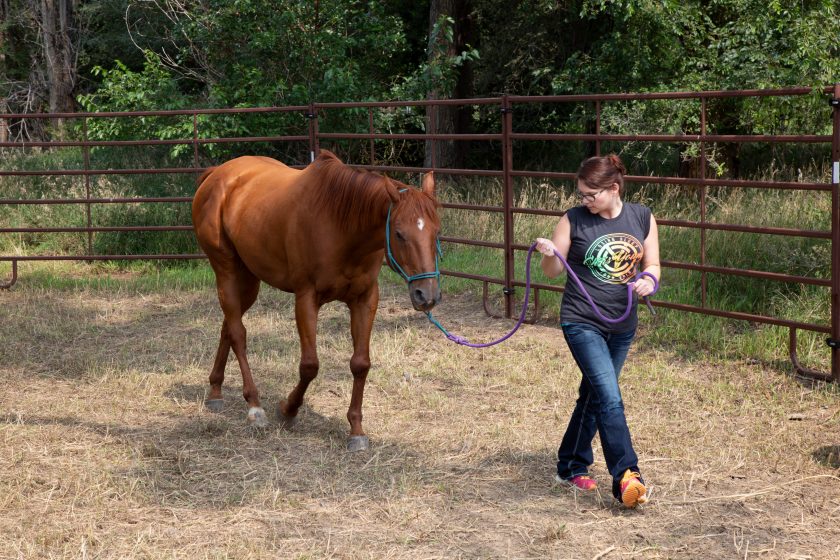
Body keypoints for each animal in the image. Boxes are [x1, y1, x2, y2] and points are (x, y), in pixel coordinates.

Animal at [190, 150, 440, 450]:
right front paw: (288, 410)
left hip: (249, 280)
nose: (426, 294)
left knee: (228, 326)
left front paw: (356, 430)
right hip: (226, 272)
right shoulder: (306, 298)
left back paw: (215, 391)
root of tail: (217, 175)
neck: (342, 226)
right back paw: (255, 406)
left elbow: (360, 363)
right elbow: (309, 365)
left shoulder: (365, 299)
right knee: (238, 333)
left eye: (436, 231)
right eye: (400, 233)